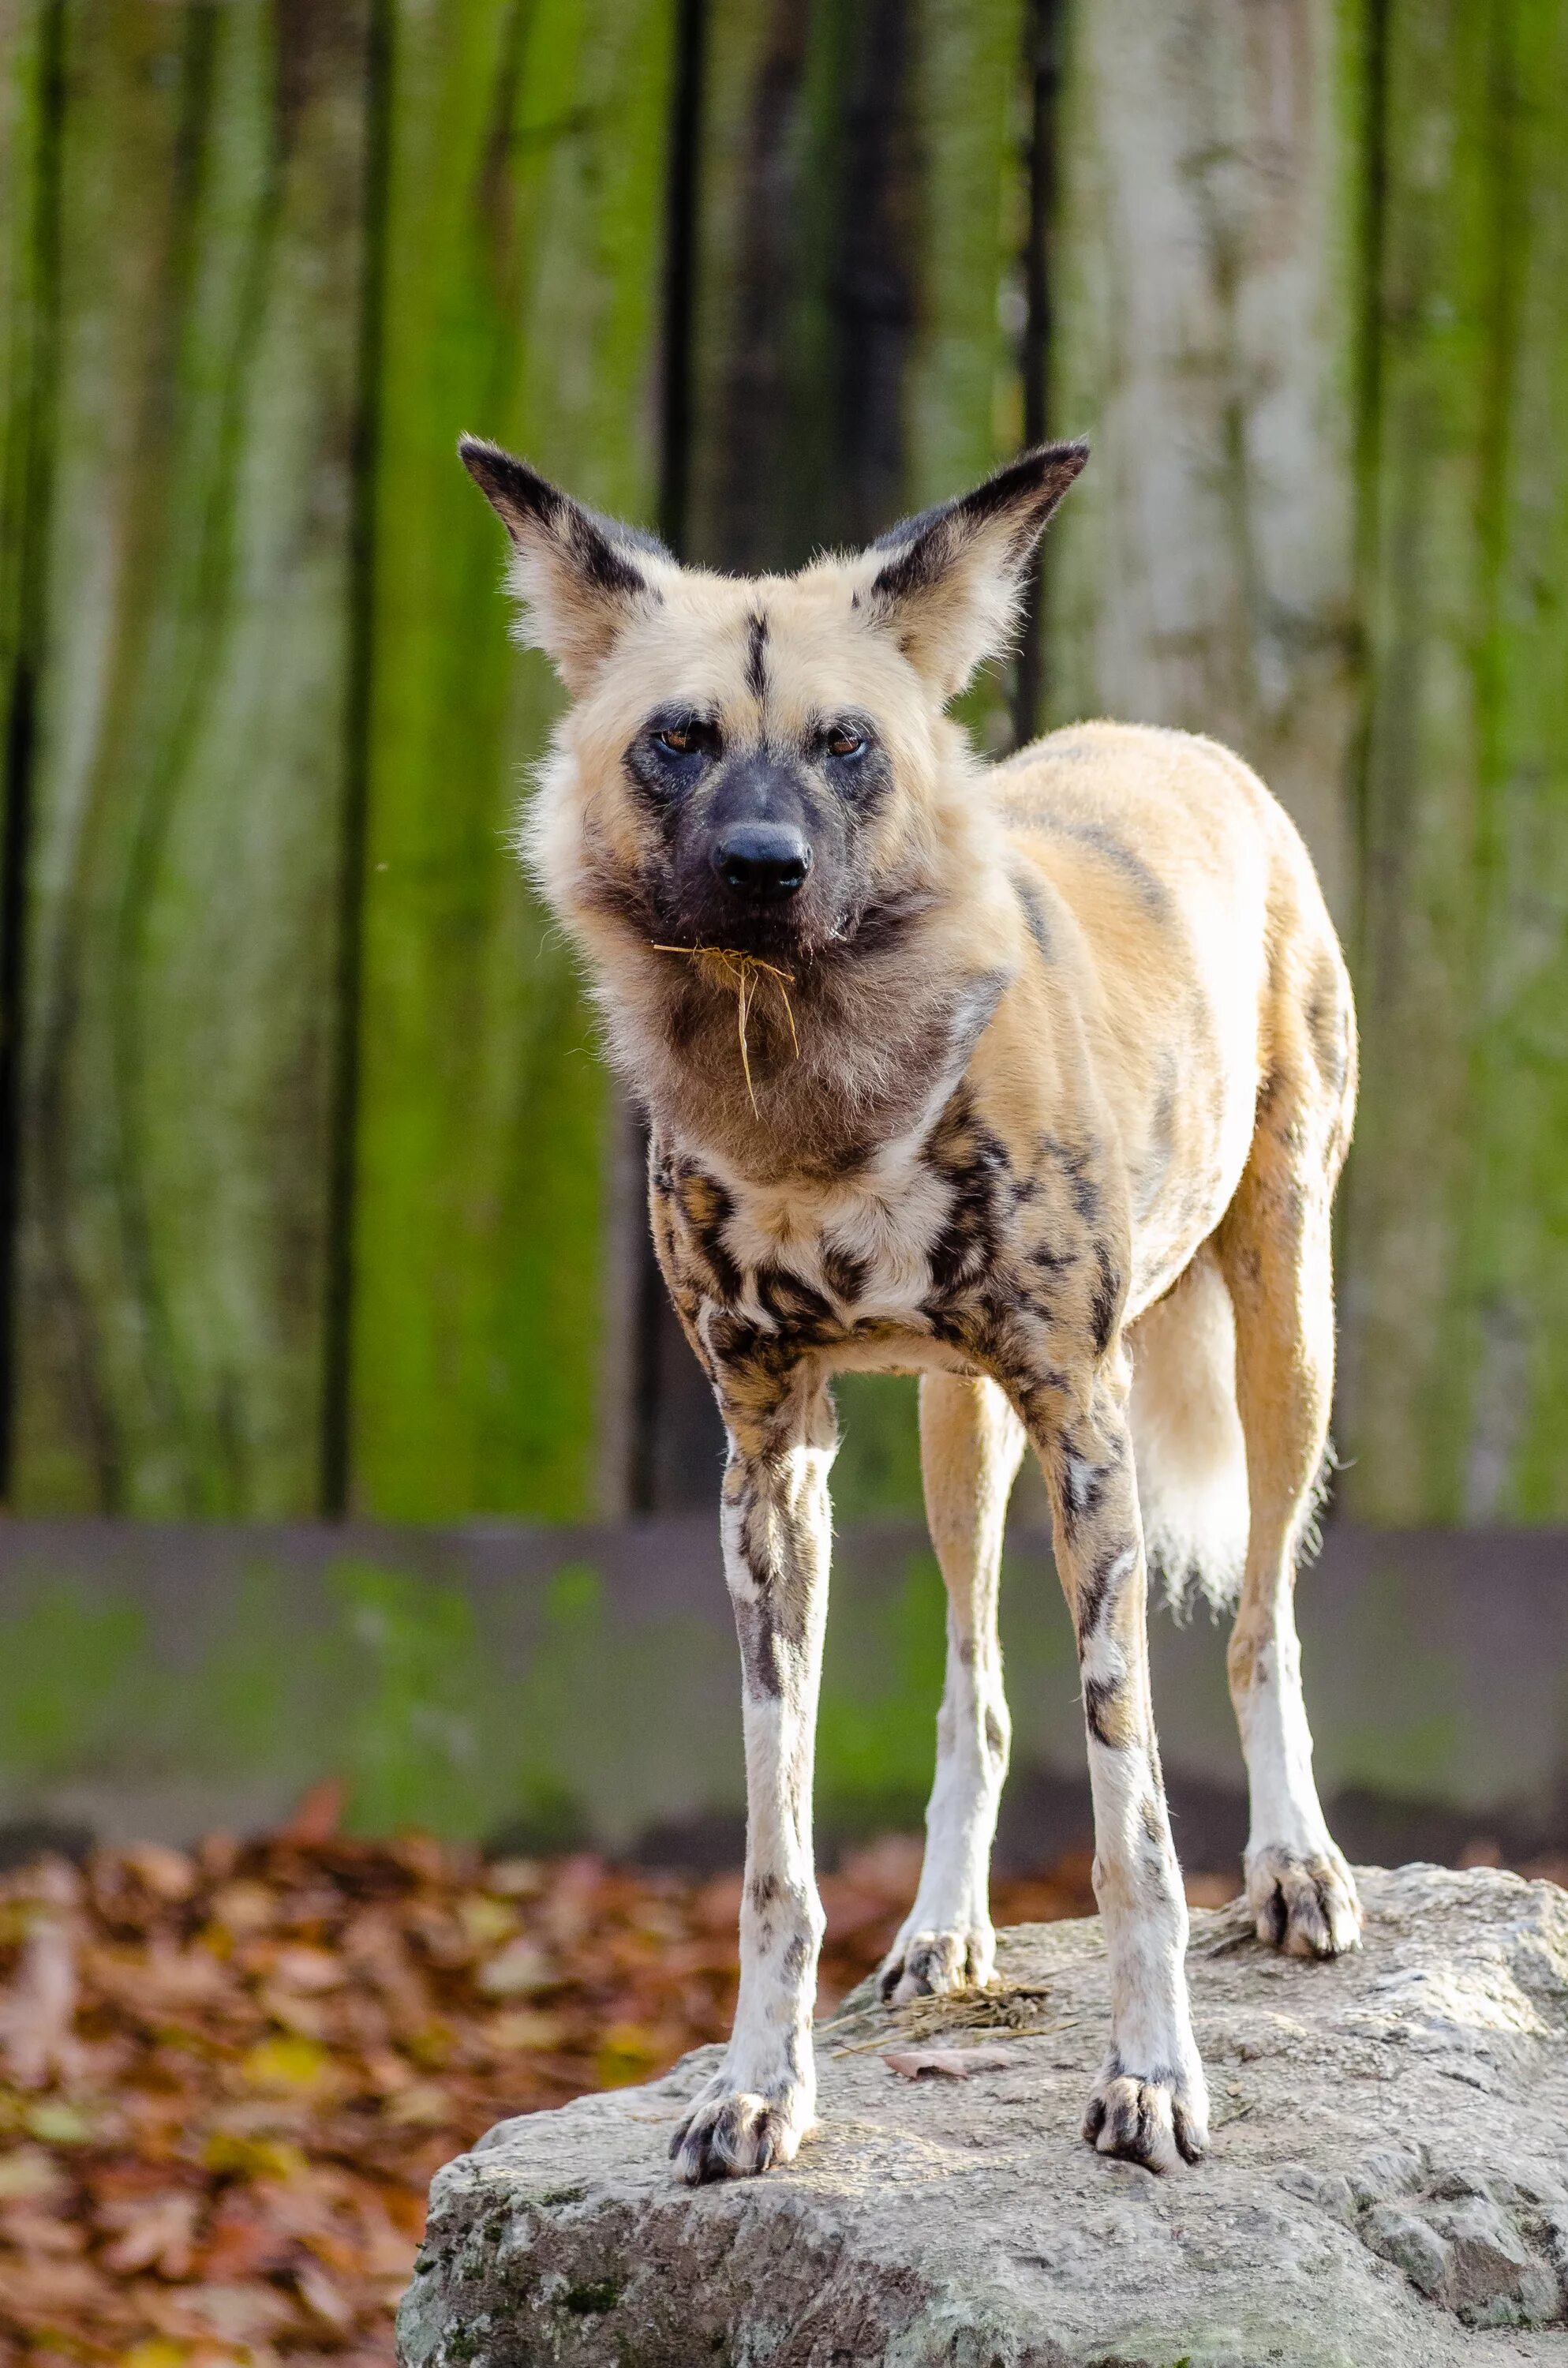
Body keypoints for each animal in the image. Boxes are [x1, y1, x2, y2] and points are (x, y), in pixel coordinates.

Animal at [464, 431, 1364, 2179]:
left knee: (1265, 1628)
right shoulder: (771, 1464)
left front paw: (1152, 2078)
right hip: (961, 1439)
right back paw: (945, 1933)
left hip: (1280, 1336)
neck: (813, 1083)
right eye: (678, 741)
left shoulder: (1088, 1431)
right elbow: (778, 1854)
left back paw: (1295, 1869)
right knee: (977, 1694)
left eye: (846, 746)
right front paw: (761, 2086)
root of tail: (1180, 747)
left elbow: (1135, 1832)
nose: (762, 871)